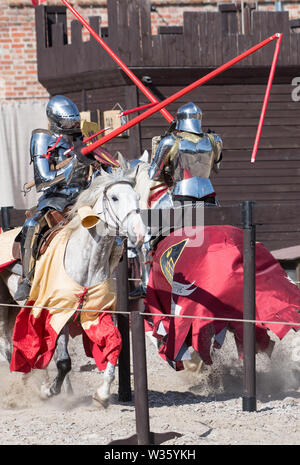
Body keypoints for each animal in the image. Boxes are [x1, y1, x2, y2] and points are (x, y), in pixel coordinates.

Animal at [0, 169, 145, 406]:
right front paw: (48, 390)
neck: (87, 260)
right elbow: (63, 361)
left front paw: (102, 393)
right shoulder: (56, 312)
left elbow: (115, 344)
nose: (139, 233)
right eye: (114, 198)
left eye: (137, 197)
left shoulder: (96, 314)